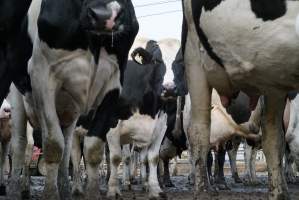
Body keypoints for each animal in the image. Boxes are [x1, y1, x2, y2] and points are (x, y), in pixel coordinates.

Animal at [9, 0, 139, 200]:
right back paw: (16, 189)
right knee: (21, 145)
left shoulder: (114, 81)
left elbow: (92, 149)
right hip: (18, 96)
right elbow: (53, 145)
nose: (104, 16)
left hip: (69, 113)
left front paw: (92, 193)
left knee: (67, 147)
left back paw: (64, 189)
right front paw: (50, 194)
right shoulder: (41, 75)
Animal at [182, 0, 299, 199]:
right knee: (198, 132)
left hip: (272, 75)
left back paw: (277, 192)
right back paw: (205, 190)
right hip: (194, 50)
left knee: (272, 135)